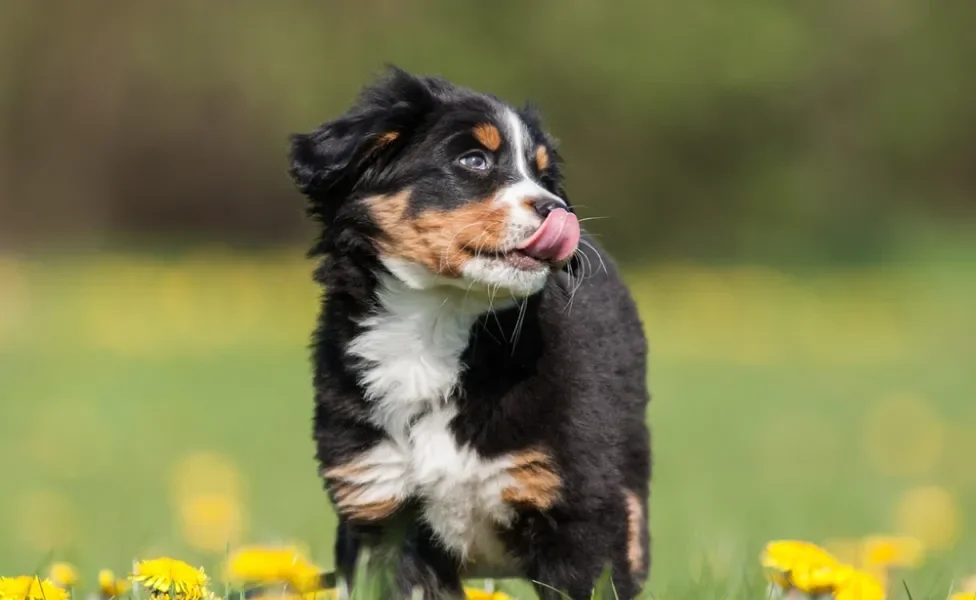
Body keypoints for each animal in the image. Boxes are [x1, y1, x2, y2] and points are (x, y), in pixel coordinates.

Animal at [292, 67, 656, 600]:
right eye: (473, 160)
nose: (558, 210)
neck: (433, 325)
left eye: (542, 175)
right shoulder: (383, 507)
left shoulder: (579, 514)